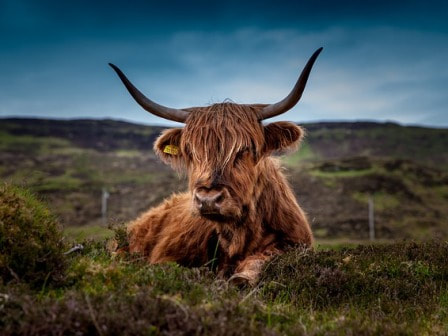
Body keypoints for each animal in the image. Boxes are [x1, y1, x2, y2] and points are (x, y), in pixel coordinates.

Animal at [110, 47, 324, 284]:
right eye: (190, 151)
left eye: (245, 149)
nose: (208, 199)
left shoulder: (294, 244)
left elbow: (262, 259)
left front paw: (241, 278)